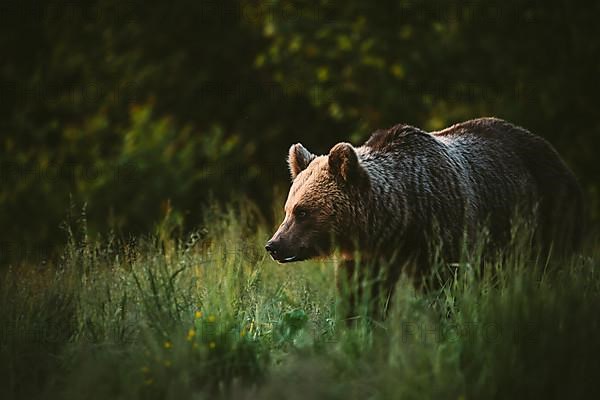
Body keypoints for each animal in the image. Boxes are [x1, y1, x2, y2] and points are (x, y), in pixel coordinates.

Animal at [264, 119, 584, 316]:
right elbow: (363, 293)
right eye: (288, 209)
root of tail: (553, 152)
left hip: (546, 210)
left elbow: (445, 286)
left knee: (549, 265)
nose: (273, 245)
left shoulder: (443, 230)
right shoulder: (369, 255)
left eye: (303, 211)